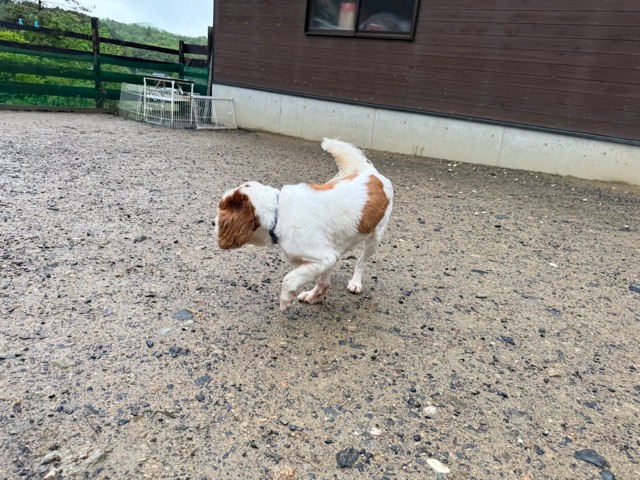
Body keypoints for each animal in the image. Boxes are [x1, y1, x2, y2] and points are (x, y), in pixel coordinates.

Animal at [215, 138, 393, 311]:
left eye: (222, 208)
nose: (212, 222)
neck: (278, 213)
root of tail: (372, 173)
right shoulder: (327, 257)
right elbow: (322, 281)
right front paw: (314, 296)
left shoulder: (323, 258)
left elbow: (288, 279)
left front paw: (285, 300)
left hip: (374, 240)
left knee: (361, 262)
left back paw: (355, 282)